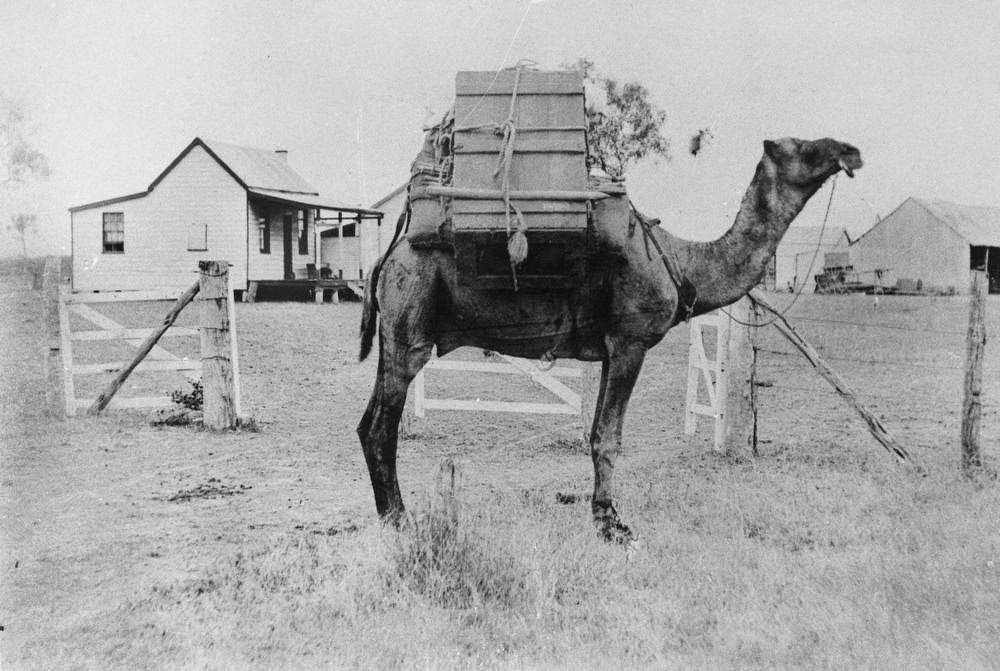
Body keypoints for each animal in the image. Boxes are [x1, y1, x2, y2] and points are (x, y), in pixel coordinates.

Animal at [358, 136, 862, 543]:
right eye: (804, 147)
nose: (851, 151)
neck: (681, 262)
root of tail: (388, 254)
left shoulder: (607, 350)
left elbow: (598, 432)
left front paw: (601, 514)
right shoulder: (630, 342)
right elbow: (609, 437)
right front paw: (612, 524)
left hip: (394, 336)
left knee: (367, 423)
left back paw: (390, 515)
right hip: (411, 324)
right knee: (382, 426)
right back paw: (400, 521)